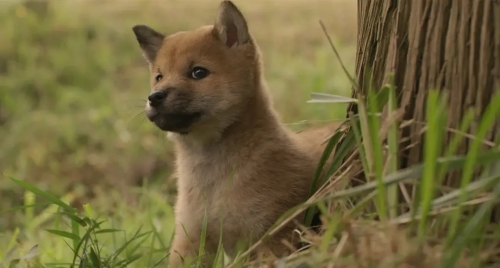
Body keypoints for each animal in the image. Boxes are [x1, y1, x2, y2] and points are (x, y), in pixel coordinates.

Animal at [132, 1, 340, 266]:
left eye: (198, 72)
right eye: (159, 77)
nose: (154, 97)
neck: (212, 181)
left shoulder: (271, 238)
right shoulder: (190, 239)